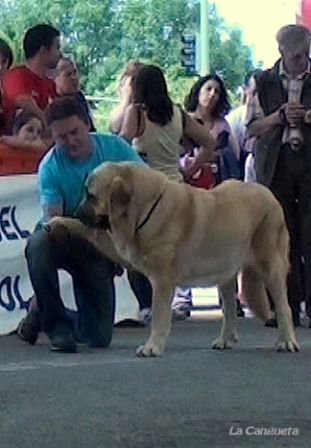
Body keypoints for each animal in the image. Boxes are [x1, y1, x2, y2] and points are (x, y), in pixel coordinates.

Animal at [48, 162, 300, 356]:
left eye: (91, 195)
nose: (77, 212)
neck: (145, 209)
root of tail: (268, 193)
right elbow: (88, 231)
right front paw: (59, 223)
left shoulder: (161, 281)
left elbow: (159, 315)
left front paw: (152, 347)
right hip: (226, 273)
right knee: (229, 309)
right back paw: (225, 339)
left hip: (271, 266)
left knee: (283, 306)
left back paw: (287, 341)